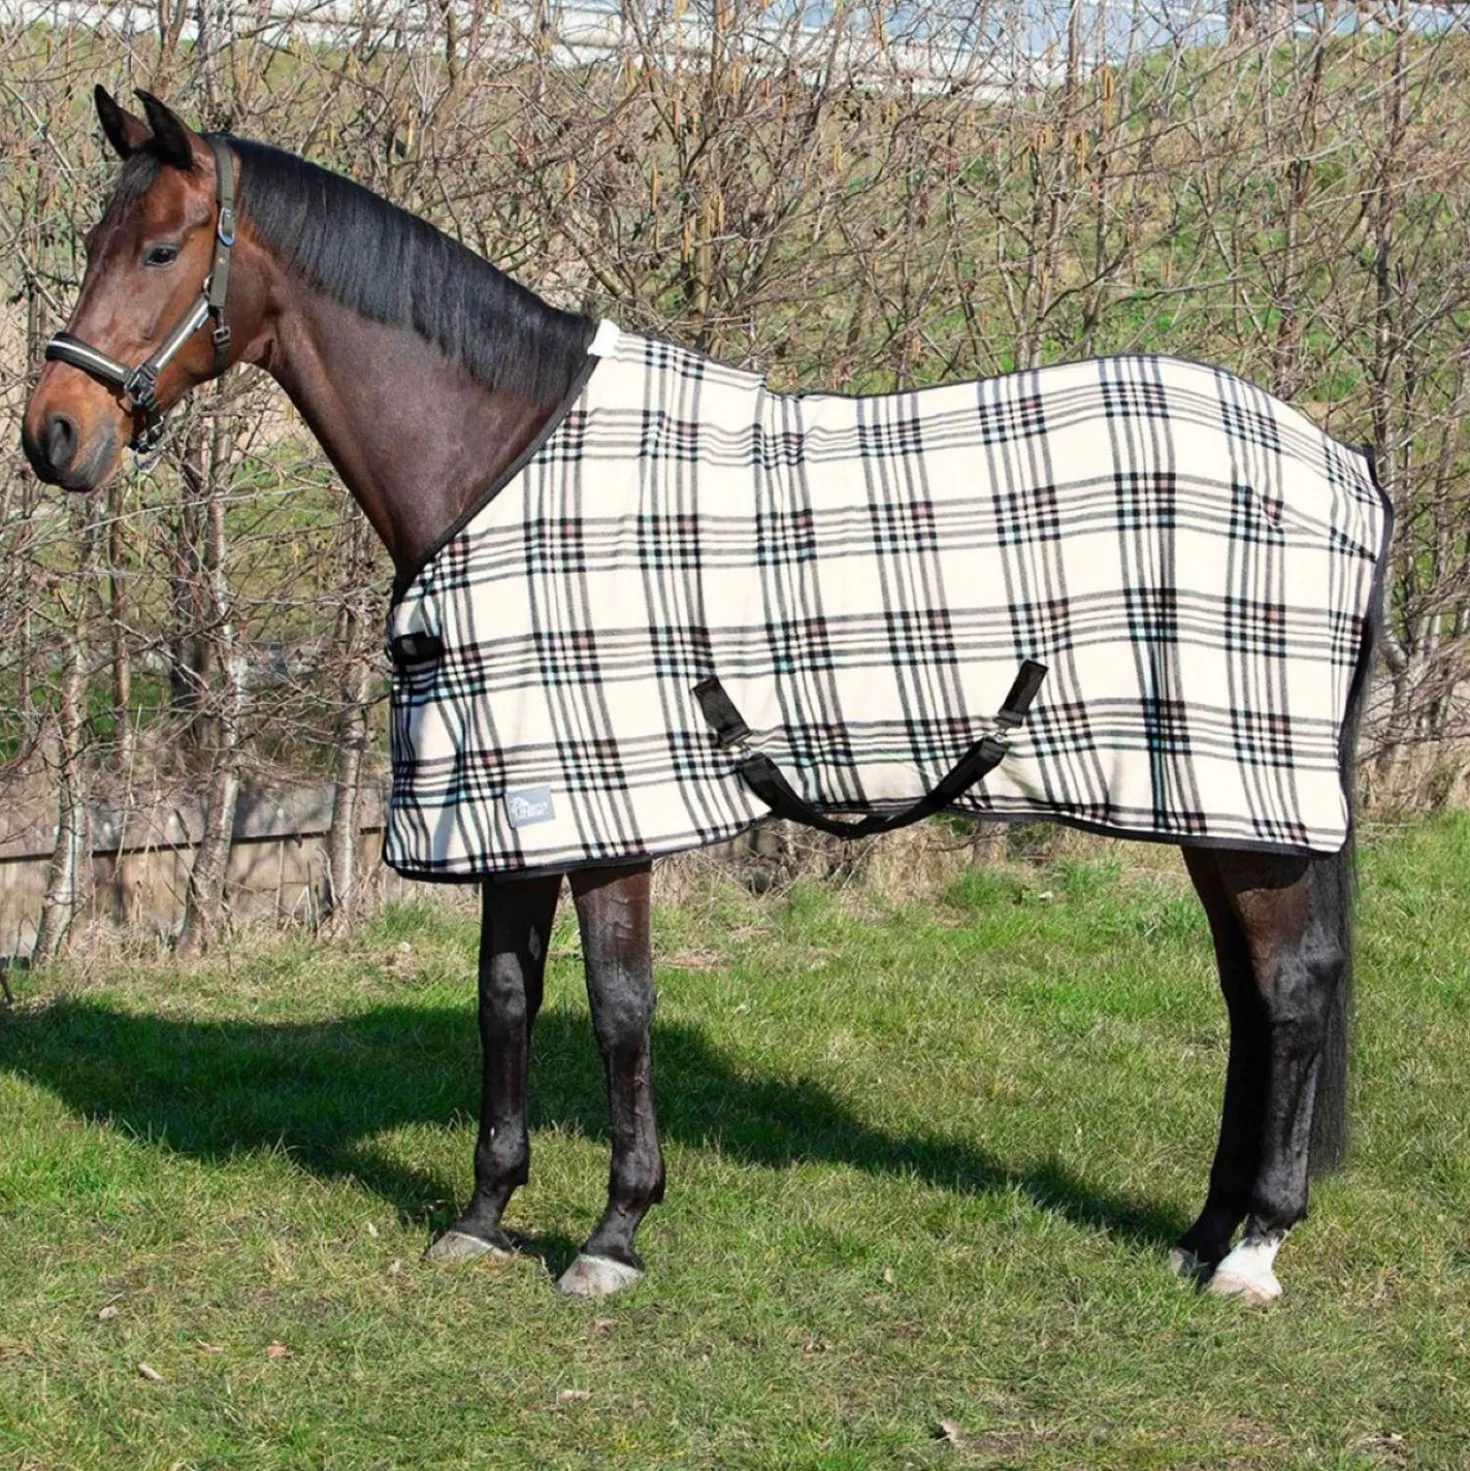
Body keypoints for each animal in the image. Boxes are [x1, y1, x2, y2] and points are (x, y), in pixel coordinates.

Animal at [21, 88, 1382, 1303]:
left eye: (159, 247)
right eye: (92, 243)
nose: (53, 434)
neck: (501, 459)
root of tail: (1345, 464)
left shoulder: (609, 808)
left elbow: (618, 1007)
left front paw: (615, 1232)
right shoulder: (511, 801)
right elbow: (504, 999)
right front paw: (482, 1213)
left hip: (1246, 805)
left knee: (1291, 992)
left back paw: (1255, 1246)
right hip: (1214, 806)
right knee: (1248, 997)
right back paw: (1200, 1233)